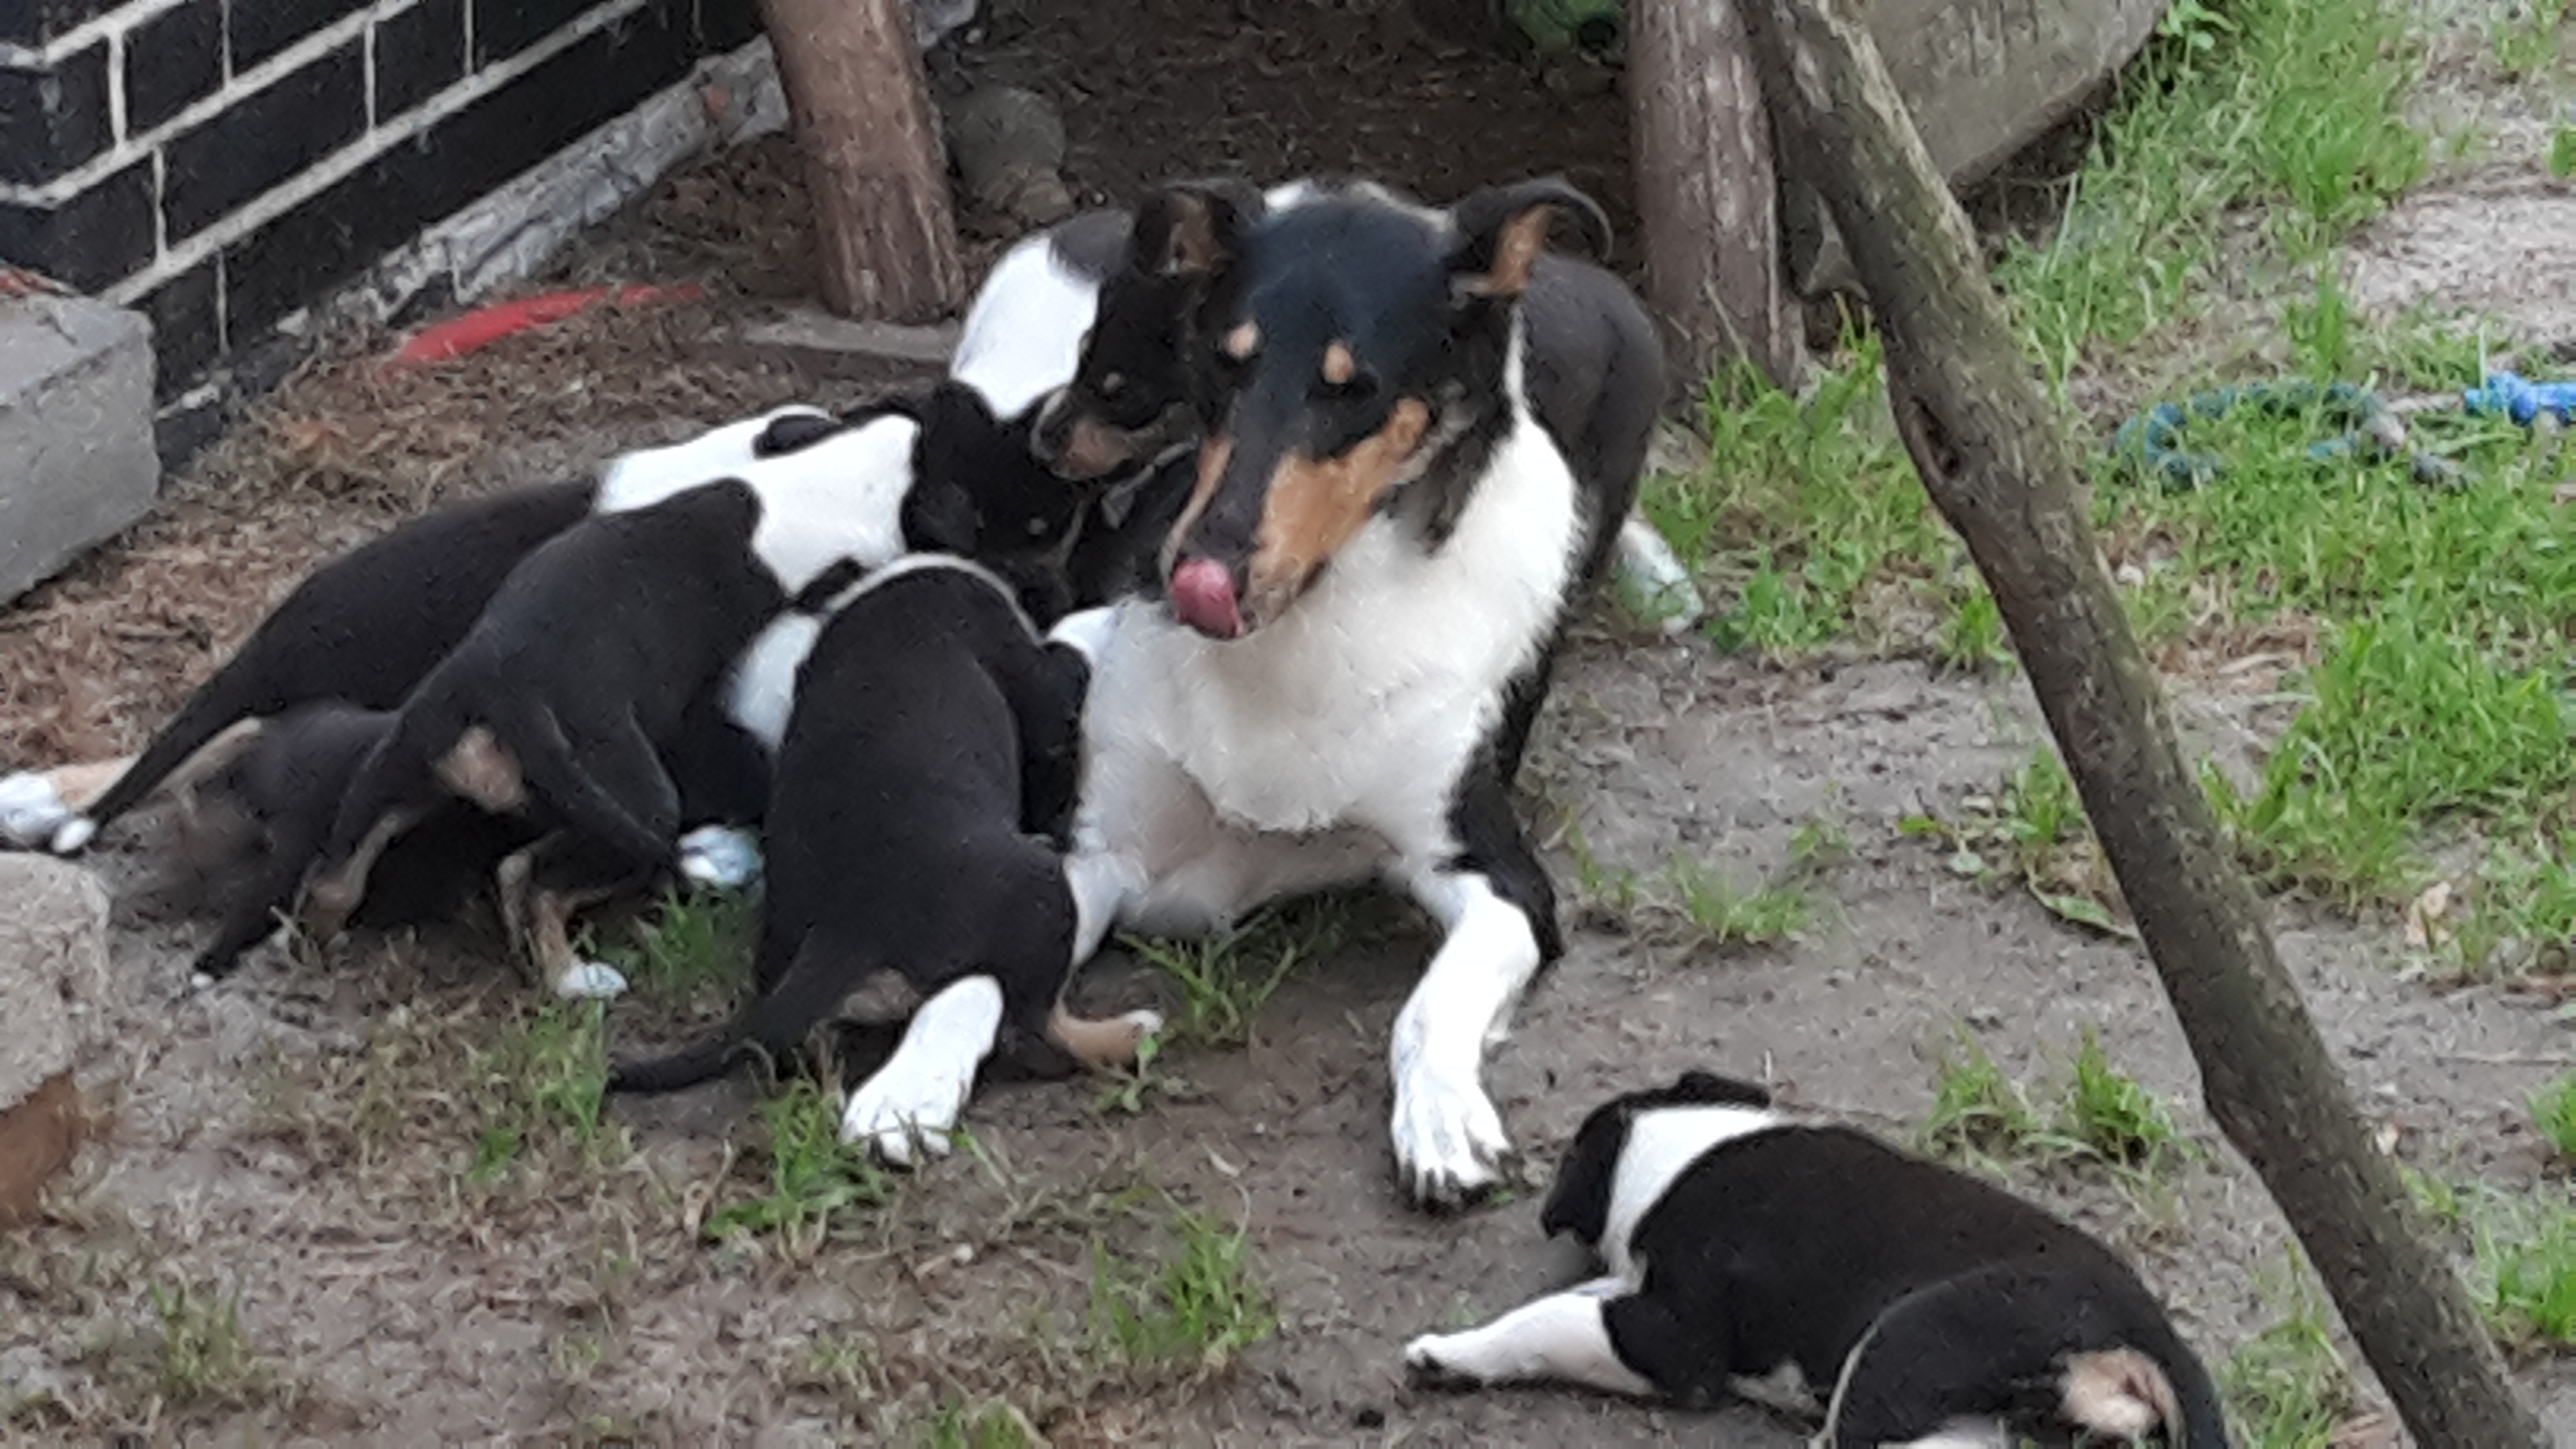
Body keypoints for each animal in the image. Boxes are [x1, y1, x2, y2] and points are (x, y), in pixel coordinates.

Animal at [608, 552, 1154, 1160]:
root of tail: (847, 925)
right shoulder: (1034, 678)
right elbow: (1067, 653)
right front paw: (1106, 616)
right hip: (1042, 894)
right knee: (1034, 1034)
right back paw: (1130, 1032)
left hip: (783, 963)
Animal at [1040, 175, 1607, 1201]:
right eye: (1224, 366)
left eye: (1355, 390)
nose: (1201, 572)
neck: (1305, 635)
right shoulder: (1099, 848)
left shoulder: (1498, 878)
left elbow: (1429, 1005)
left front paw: (1441, 1120)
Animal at [1401, 1067, 2226, 1433]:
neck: (1682, 1150)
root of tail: (2145, 1329)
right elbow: (1573, 1300)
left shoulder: (1675, 1342)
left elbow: (1545, 1324)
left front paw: (1448, 1352)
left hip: (1901, 1346)